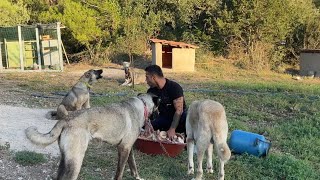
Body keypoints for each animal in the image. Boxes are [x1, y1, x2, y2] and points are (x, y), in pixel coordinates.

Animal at [25, 93, 160, 180]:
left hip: (65, 159)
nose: (158, 117)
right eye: (160, 105)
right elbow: (119, 173)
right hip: (76, 161)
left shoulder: (128, 149)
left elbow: (133, 166)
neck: (142, 105)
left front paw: (137, 177)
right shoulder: (123, 149)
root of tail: (65, 120)